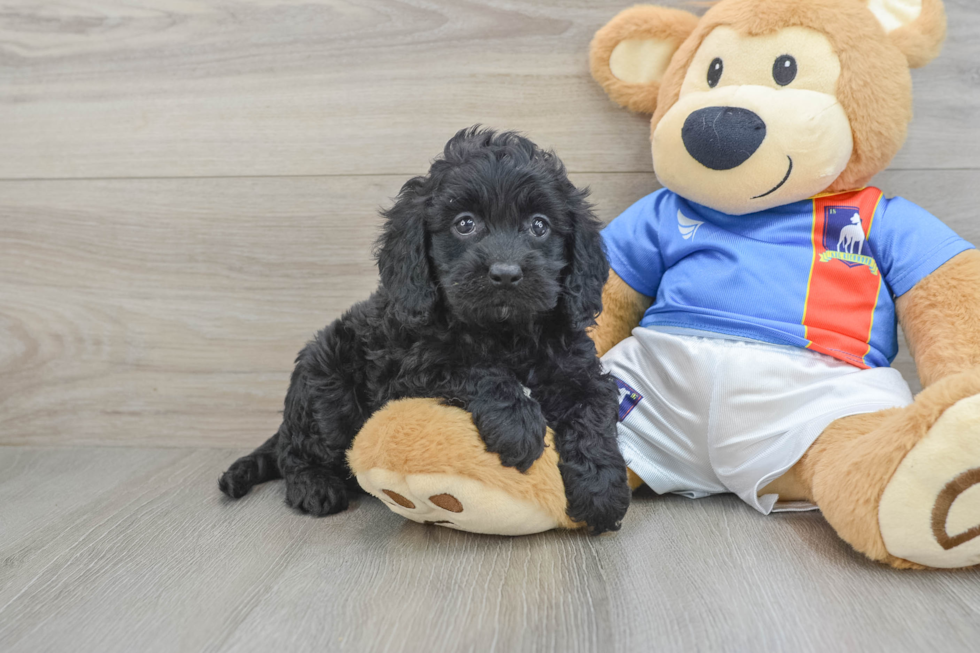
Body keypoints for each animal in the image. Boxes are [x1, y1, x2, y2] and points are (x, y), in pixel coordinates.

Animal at [219, 127, 632, 536]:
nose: (505, 273)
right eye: (464, 223)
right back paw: (314, 486)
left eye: (539, 225)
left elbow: (593, 409)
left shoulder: (576, 368)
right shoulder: (411, 368)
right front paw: (518, 424)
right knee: (295, 451)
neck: (504, 332)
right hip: (326, 386)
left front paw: (602, 490)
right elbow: (475, 369)